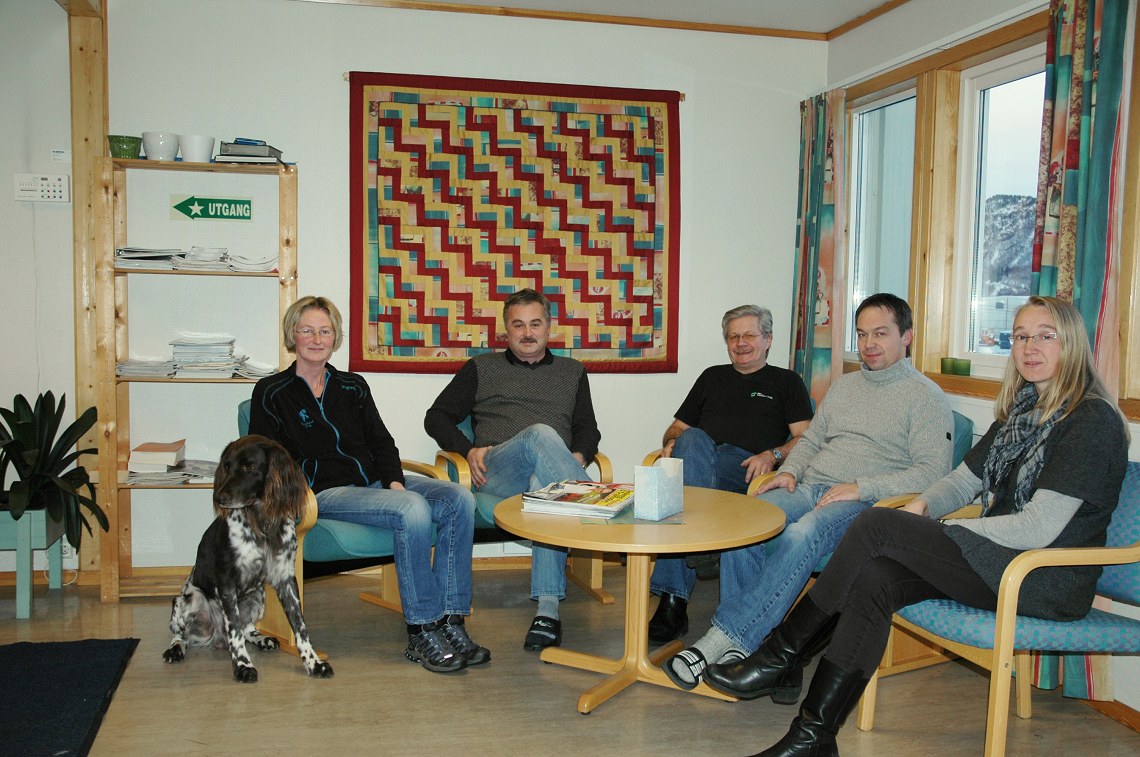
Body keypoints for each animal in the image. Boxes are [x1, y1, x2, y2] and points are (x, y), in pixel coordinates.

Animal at [162, 434, 333, 682]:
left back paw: (262, 639)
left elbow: (300, 626)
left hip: (257, 596)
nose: (219, 498)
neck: (261, 522)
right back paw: (176, 650)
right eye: (226, 466)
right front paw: (243, 666)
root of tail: (217, 638)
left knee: (247, 629)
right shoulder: (226, 581)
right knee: (181, 635)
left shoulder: (286, 578)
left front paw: (314, 663)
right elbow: (234, 631)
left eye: (249, 467)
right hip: (186, 599)